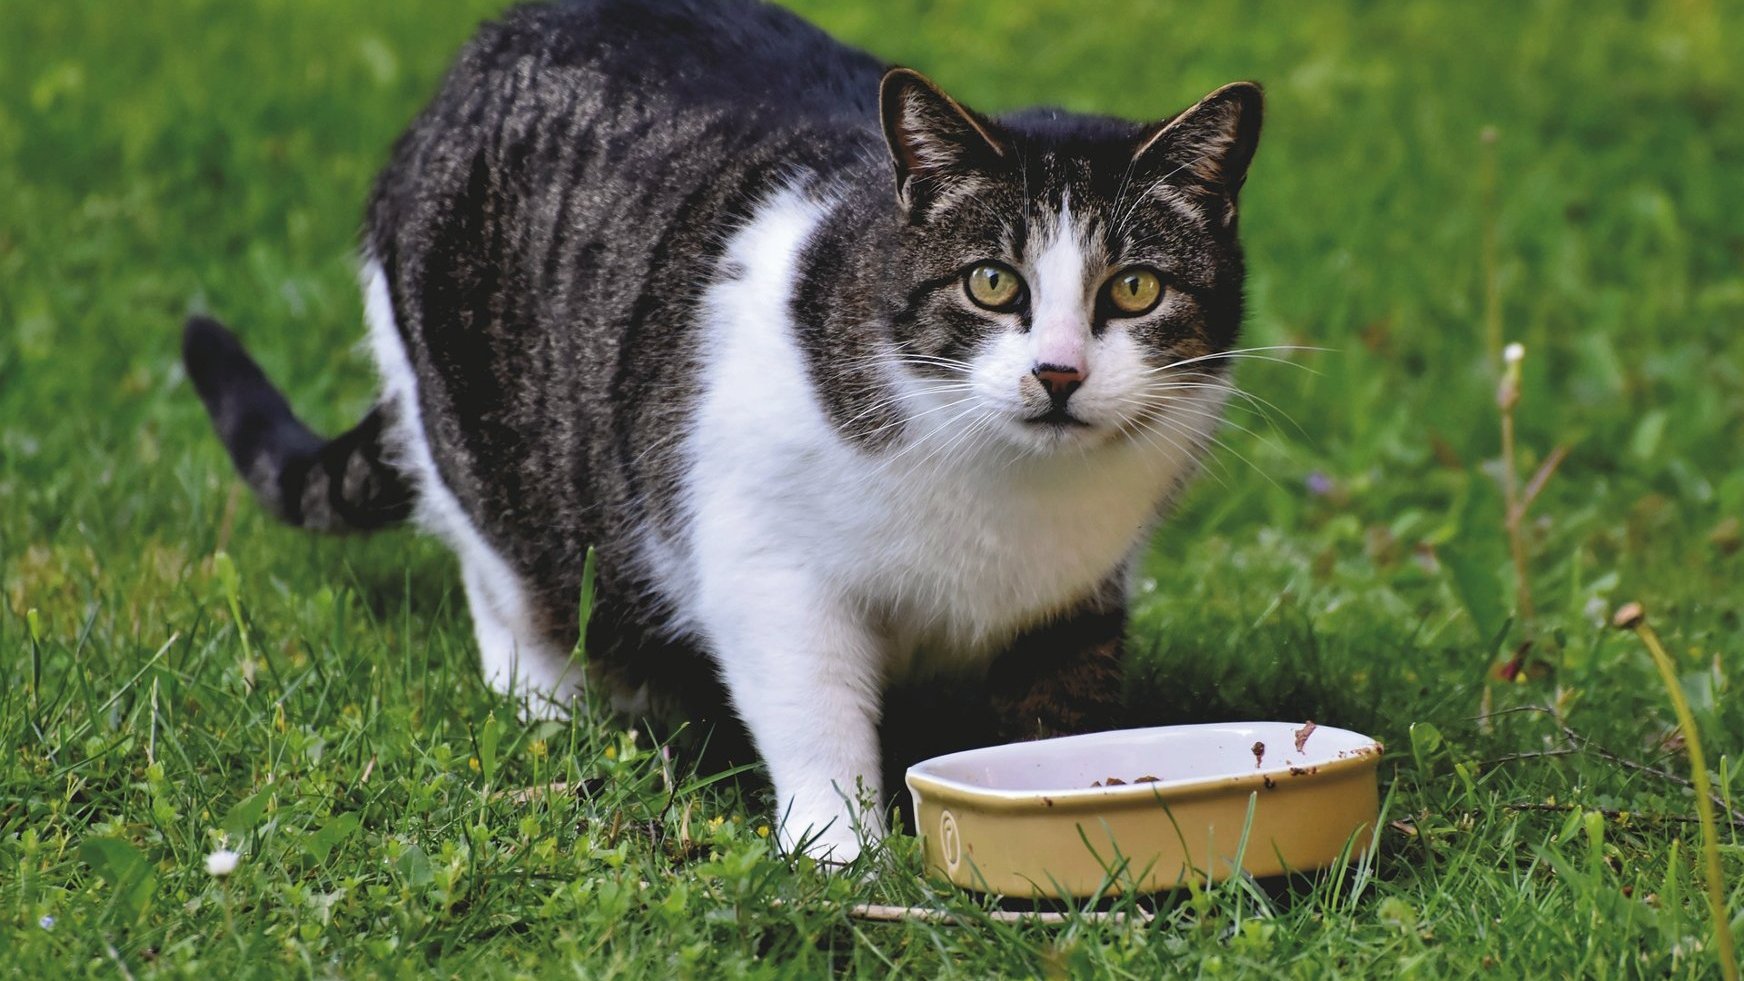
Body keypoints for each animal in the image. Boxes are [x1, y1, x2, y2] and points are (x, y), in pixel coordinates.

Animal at [183, 0, 1262, 858]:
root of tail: (473, 61)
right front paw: (843, 854)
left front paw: (1060, 809)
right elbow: (814, 714)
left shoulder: (1079, 593)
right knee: (503, 578)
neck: (1006, 492)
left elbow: (1053, 723)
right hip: (475, 435)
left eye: (1136, 289)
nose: (1059, 373)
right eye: (992, 283)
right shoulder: (767, 566)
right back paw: (554, 703)